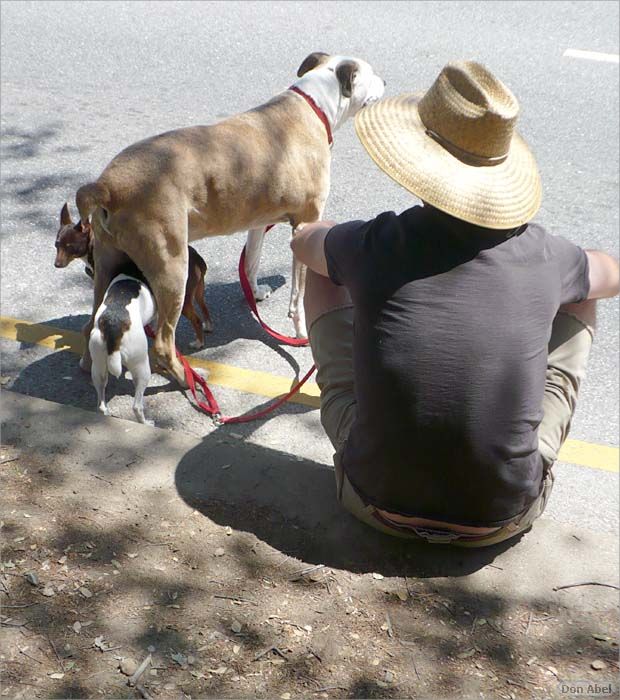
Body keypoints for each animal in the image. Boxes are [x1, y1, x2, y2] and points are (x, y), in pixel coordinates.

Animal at [75, 52, 386, 386]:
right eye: (371, 72)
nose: (386, 81)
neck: (315, 103)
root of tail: (107, 186)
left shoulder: (258, 222)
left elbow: (251, 263)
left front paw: (256, 293)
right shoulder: (306, 223)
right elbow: (298, 295)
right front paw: (301, 331)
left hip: (107, 262)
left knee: (91, 324)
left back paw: (88, 366)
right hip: (172, 266)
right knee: (162, 342)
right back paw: (188, 379)